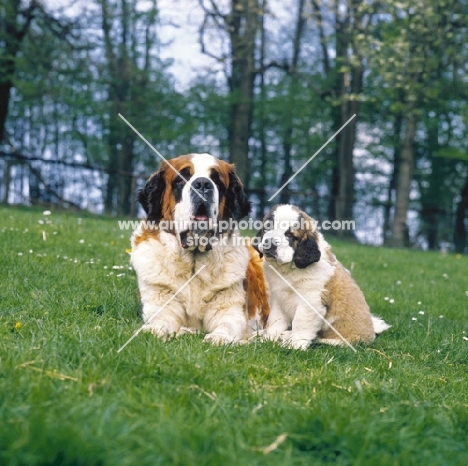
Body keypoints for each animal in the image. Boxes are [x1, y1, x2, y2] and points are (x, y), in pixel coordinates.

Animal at [130, 152, 268, 342]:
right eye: (181, 179)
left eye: (216, 180)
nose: (203, 184)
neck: (194, 264)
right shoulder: (162, 302)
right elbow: (162, 320)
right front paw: (153, 330)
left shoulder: (231, 310)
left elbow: (227, 324)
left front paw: (218, 337)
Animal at [254, 205, 390, 350]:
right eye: (267, 228)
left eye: (289, 235)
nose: (270, 242)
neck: (289, 268)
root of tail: (371, 333)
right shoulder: (279, 298)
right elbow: (275, 320)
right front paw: (269, 338)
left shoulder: (311, 301)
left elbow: (300, 322)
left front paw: (295, 344)